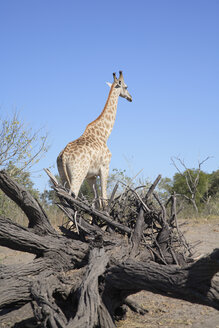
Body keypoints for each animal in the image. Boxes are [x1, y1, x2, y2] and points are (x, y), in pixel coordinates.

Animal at [56, 71, 132, 205]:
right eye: (126, 87)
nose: (131, 97)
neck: (104, 134)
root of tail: (64, 156)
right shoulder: (105, 167)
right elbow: (104, 199)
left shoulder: (91, 176)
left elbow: (96, 201)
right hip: (78, 174)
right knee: (73, 195)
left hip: (63, 176)